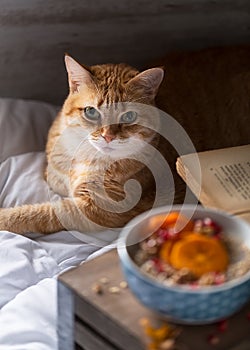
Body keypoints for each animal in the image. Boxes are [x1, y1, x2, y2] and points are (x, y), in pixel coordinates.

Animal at [0, 45, 250, 232]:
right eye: (91, 112)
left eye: (129, 116)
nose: (108, 137)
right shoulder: (55, 177)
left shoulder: (98, 209)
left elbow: (42, 213)